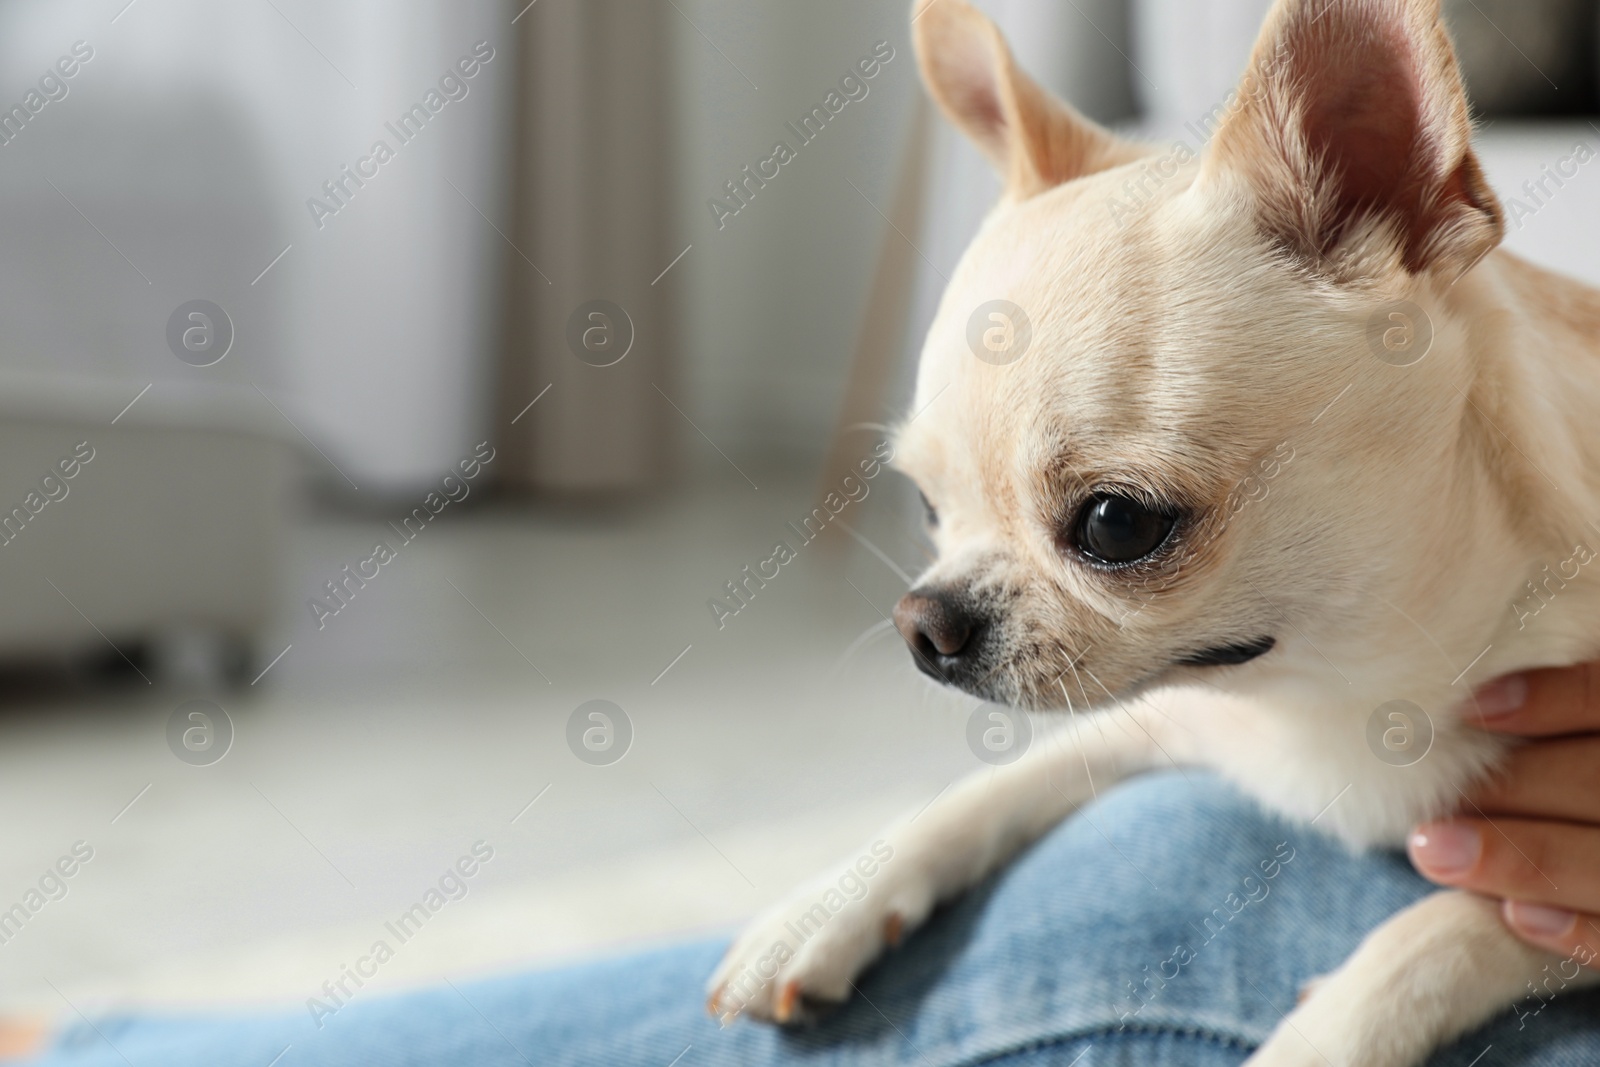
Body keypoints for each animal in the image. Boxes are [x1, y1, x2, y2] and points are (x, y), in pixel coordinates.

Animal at [710, 0, 1600, 1062]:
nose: (921, 620)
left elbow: (1439, 932)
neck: (1335, 686)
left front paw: (1315, 1038)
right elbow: (986, 788)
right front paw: (819, 909)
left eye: (1116, 522)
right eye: (927, 507)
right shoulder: (1158, 711)